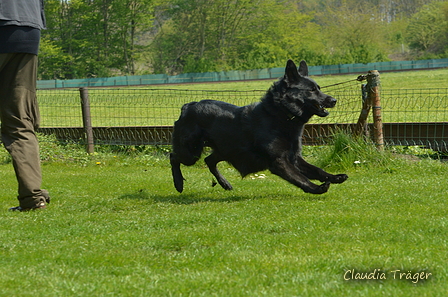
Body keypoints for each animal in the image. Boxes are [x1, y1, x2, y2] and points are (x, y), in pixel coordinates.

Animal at [170, 60, 348, 194]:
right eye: (311, 90)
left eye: (319, 88)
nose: (334, 100)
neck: (281, 115)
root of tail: (188, 106)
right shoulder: (279, 161)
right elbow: (300, 178)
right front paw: (317, 188)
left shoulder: (294, 157)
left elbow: (318, 170)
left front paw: (335, 177)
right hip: (191, 153)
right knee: (174, 157)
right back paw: (178, 184)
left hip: (226, 150)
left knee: (209, 160)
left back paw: (225, 184)